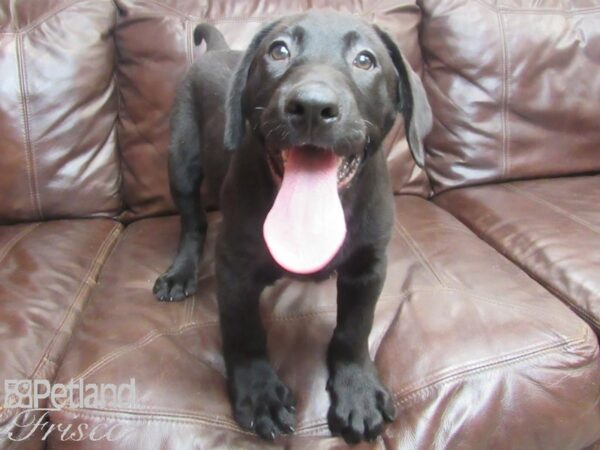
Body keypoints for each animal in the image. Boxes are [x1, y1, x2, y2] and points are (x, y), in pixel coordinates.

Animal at [154, 9, 432, 442]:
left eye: (365, 60)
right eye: (279, 51)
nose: (313, 106)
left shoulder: (369, 266)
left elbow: (355, 328)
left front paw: (357, 390)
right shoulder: (234, 267)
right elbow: (244, 331)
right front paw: (259, 393)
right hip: (181, 159)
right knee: (193, 222)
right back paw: (180, 273)